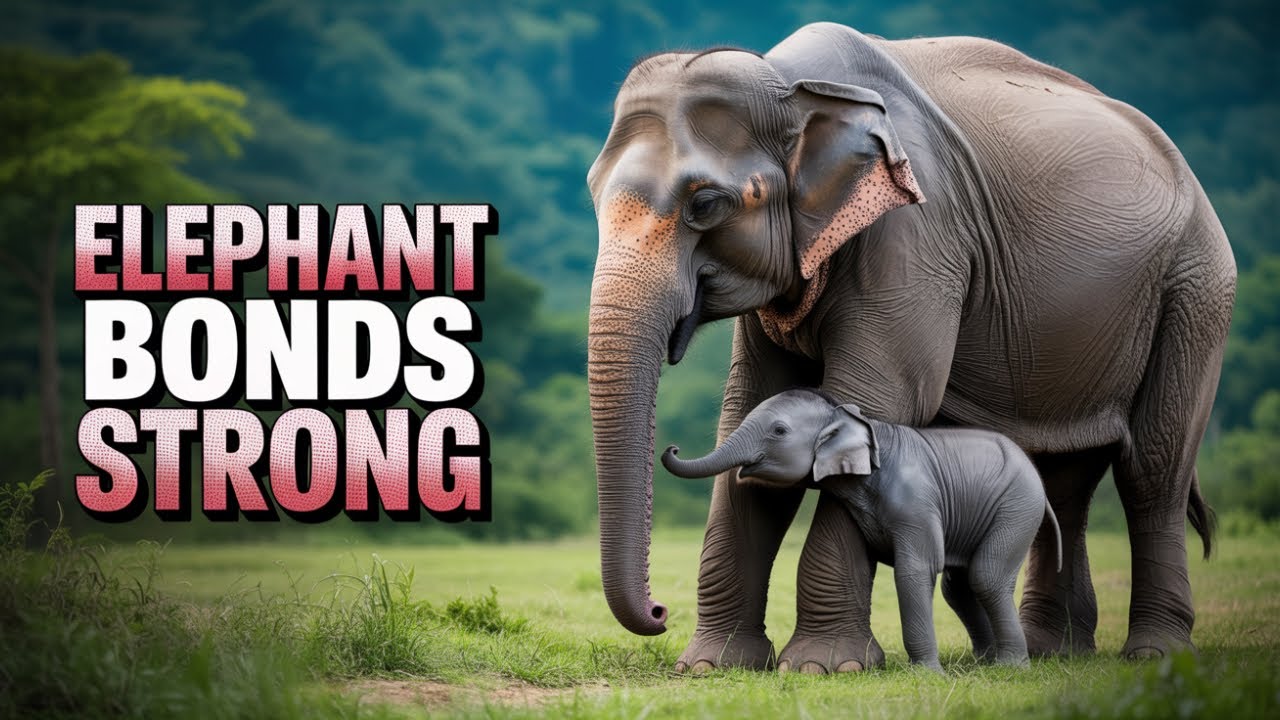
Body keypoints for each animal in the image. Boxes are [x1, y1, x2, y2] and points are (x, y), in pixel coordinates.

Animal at [661, 388, 1063, 671]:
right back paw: (984, 662)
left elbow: (914, 570)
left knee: (986, 576)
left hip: (1017, 506)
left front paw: (927, 675)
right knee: (959, 586)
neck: (848, 415)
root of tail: (1041, 489)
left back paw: (1010, 667)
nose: (672, 447)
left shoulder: (916, 500)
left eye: (778, 431)